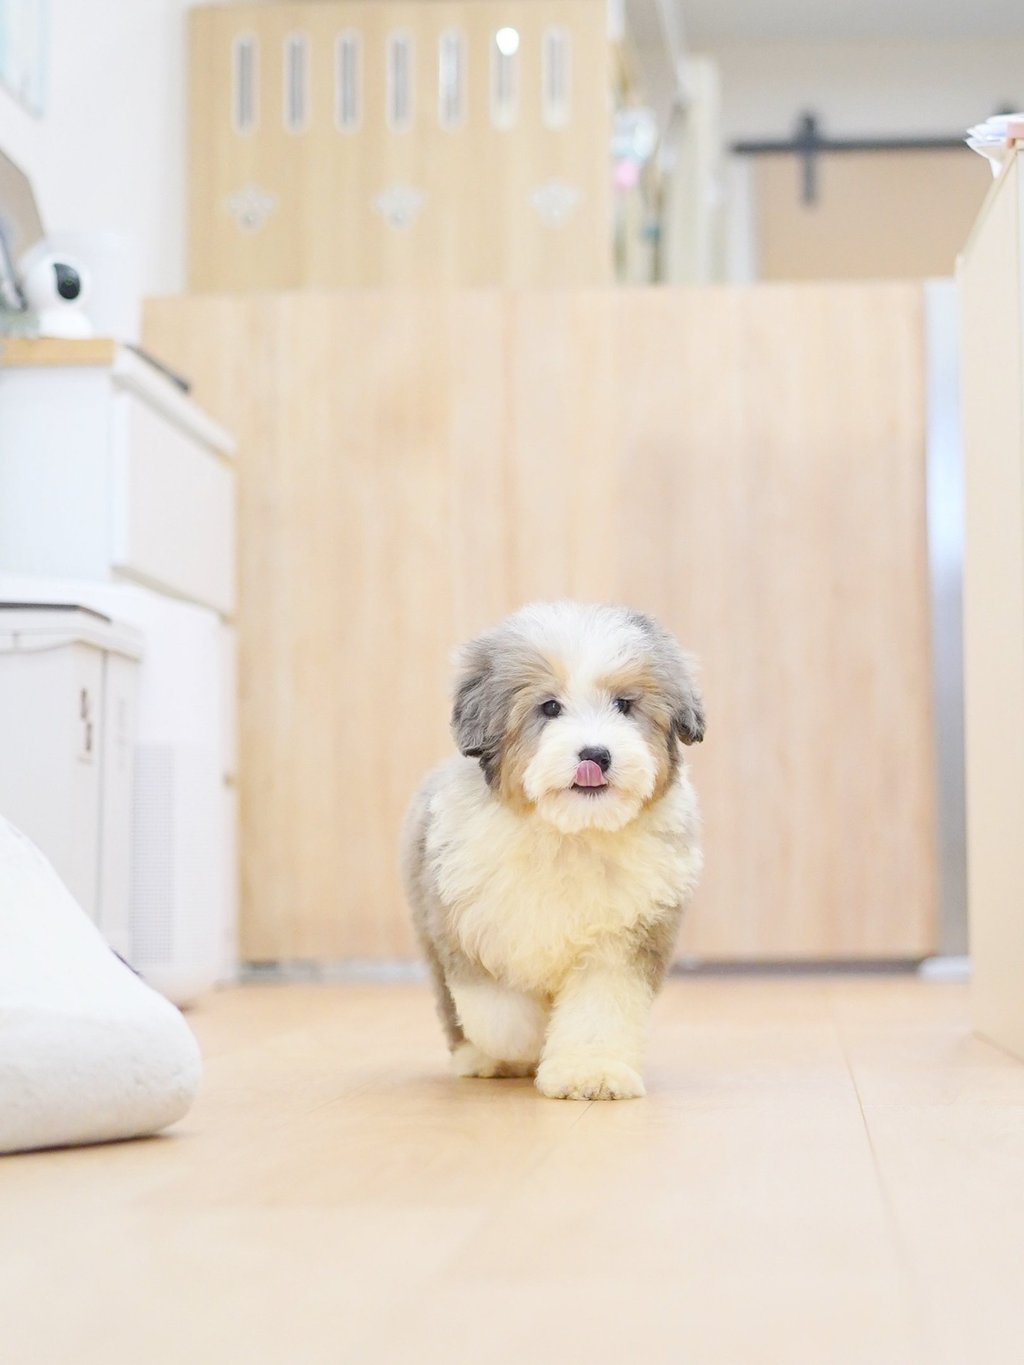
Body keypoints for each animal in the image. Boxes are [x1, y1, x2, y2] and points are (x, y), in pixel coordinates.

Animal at [401, 602, 704, 1100]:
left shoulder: (622, 940)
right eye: (549, 707)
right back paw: (481, 1060)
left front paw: (590, 1073)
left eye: (624, 705)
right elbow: (499, 1012)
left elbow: (599, 1010)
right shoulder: (468, 924)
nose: (596, 755)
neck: (569, 833)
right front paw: (525, 1047)